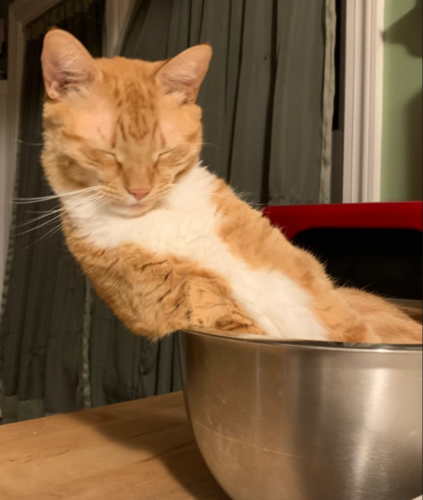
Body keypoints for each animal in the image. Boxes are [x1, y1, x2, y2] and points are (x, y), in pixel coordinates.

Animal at [39, 29, 420, 344]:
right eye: (105, 153)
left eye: (166, 152)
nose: (140, 191)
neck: (160, 219)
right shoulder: (200, 301)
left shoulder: (304, 275)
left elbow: (351, 325)